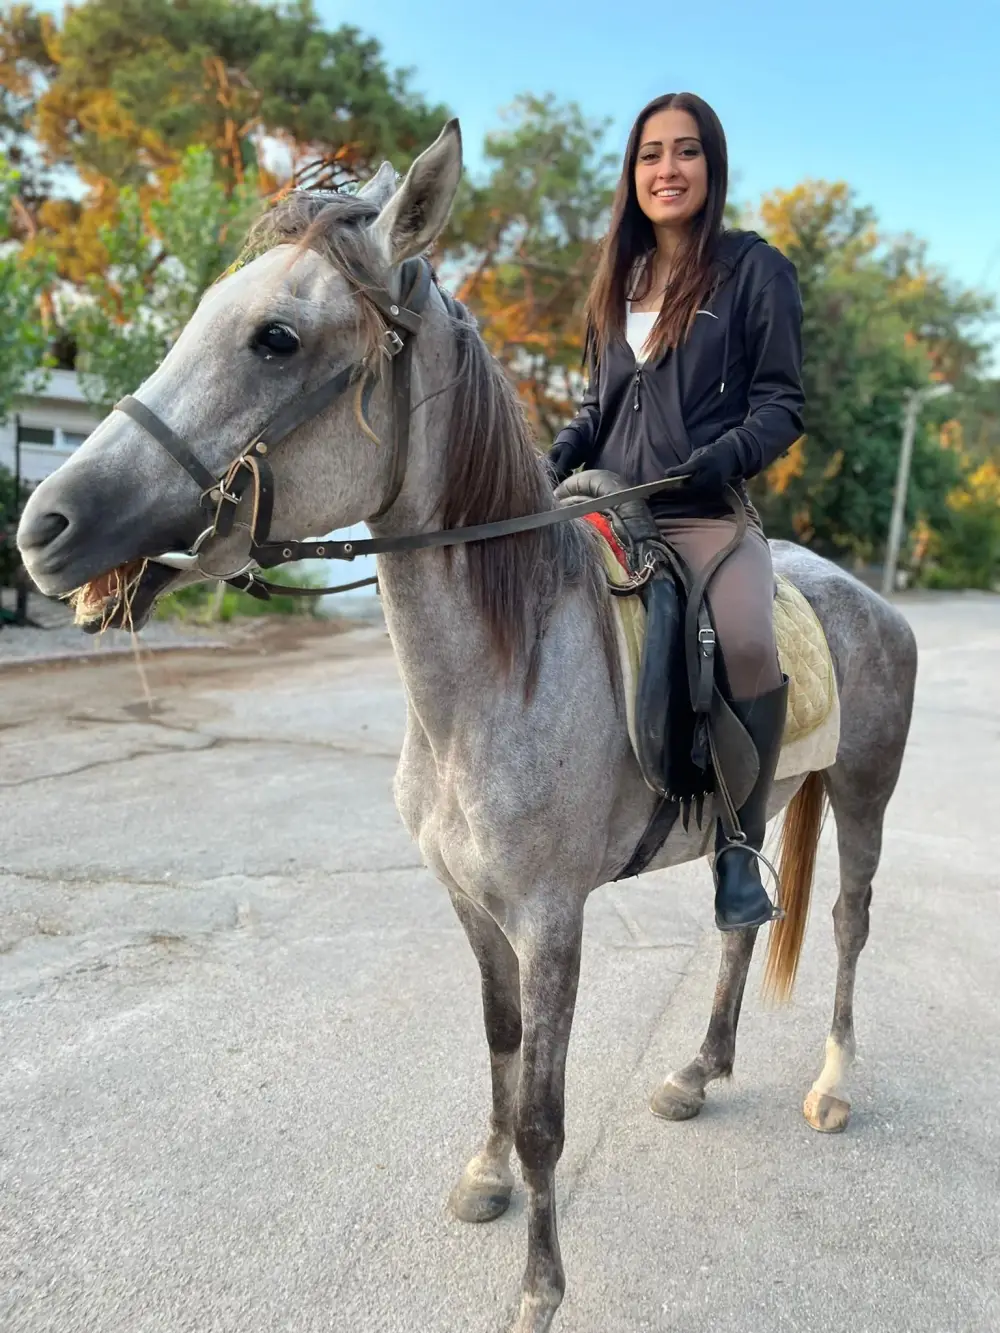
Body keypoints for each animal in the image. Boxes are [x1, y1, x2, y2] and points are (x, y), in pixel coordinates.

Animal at [17, 121, 917, 1332]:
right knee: (739, 927)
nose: (45, 526)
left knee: (851, 926)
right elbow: (497, 1046)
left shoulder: (551, 920)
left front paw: (539, 1286)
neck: (501, 670)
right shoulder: (471, 904)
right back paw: (698, 1071)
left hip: (864, 795)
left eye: (276, 338)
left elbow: (544, 1108)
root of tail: (871, 601)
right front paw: (486, 1176)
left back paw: (831, 1084)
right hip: (759, 807)